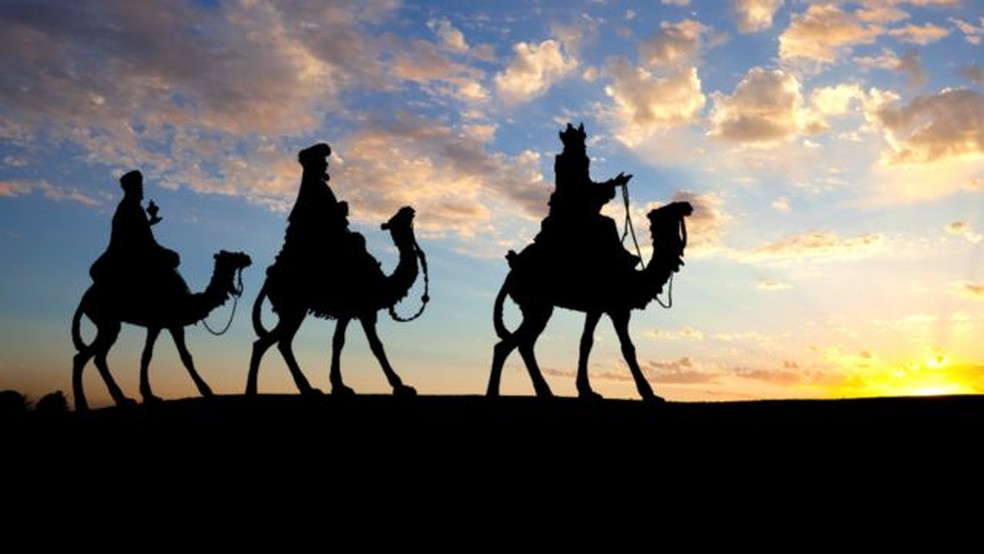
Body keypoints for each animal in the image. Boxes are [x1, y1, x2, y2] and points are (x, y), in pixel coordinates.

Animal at [70, 250, 252, 410]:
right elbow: (185, 357)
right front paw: (207, 390)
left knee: (98, 358)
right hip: (107, 322)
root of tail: (84, 299)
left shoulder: (158, 325)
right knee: (82, 357)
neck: (190, 302)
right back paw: (83, 404)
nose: (247, 257)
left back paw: (123, 400)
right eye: (230, 256)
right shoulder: (171, 324)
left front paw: (149, 395)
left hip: (109, 325)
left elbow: (147, 355)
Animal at [245, 205, 422, 394]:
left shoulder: (348, 312)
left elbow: (338, 341)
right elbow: (375, 345)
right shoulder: (364, 310)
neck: (381, 283)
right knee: (269, 343)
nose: (410, 210)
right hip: (293, 309)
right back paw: (256, 389)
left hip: (291, 311)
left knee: (280, 343)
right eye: (400, 219)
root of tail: (269, 278)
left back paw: (307, 388)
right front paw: (401, 386)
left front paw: (339, 385)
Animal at [490, 201, 692, 398]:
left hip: (537, 307)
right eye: (668, 210)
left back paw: (543, 392)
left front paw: (586, 390)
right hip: (537, 305)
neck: (635, 280)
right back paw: (498, 392)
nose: (688, 206)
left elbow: (586, 342)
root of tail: (511, 272)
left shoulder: (598, 309)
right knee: (511, 345)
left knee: (523, 344)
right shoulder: (616, 309)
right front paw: (649, 393)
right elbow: (627, 348)